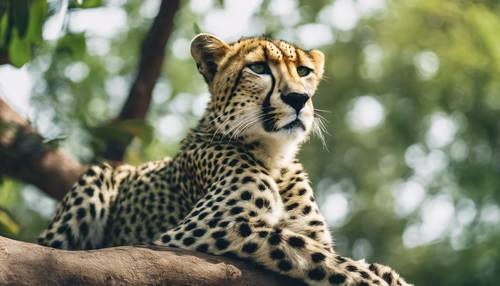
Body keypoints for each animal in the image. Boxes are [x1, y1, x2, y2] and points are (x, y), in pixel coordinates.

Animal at [39, 34, 410, 286]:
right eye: (258, 68)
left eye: (304, 71)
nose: (299, 99)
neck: (275, 156)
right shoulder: (195, 231)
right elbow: (306, 249)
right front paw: (372, 278)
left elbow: (331, 253)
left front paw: (384, 274)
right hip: (98, 179)